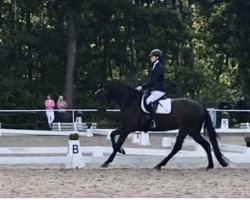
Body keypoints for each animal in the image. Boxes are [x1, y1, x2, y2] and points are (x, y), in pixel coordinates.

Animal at [94, 80, 228, 170]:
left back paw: (159, 165)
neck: (129, 101)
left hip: (187, 129)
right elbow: (112, 135)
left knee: (178, 147)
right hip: (192, 131)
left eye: (100, 95)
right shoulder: (126, 127)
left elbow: (117, 142)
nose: (99, 111)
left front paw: (109, 160)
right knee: (206, 144)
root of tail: (201, 107)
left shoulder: (129, 128)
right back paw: (210, 165)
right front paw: (120, 152)